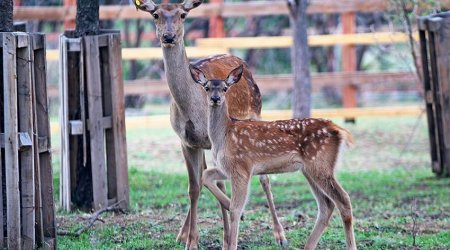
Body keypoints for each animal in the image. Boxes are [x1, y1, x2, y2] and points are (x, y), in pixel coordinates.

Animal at [134, 0, 286, 249]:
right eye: (155, 14)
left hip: (256, 114)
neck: (191, 108)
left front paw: (227, 234)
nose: (168, 36)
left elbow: (218, 183)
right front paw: (191, 240)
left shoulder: (217, 140)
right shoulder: (187, 141)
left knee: (264, 177)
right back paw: (183, 233)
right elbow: (194, 187)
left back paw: (279, 234)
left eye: (183, 15)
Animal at [191, 63, 358, 249]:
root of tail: (337, 129)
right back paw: (308, 246)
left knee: (343, 200)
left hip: (320, 163)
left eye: (225, 88)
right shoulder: (227, 168)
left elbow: (235, 209)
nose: (215, 98)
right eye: (207, 88)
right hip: (310, 168)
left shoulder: (241, 167)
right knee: (326, 205)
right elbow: (205, 175)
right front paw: (228, 205)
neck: (223, 136)